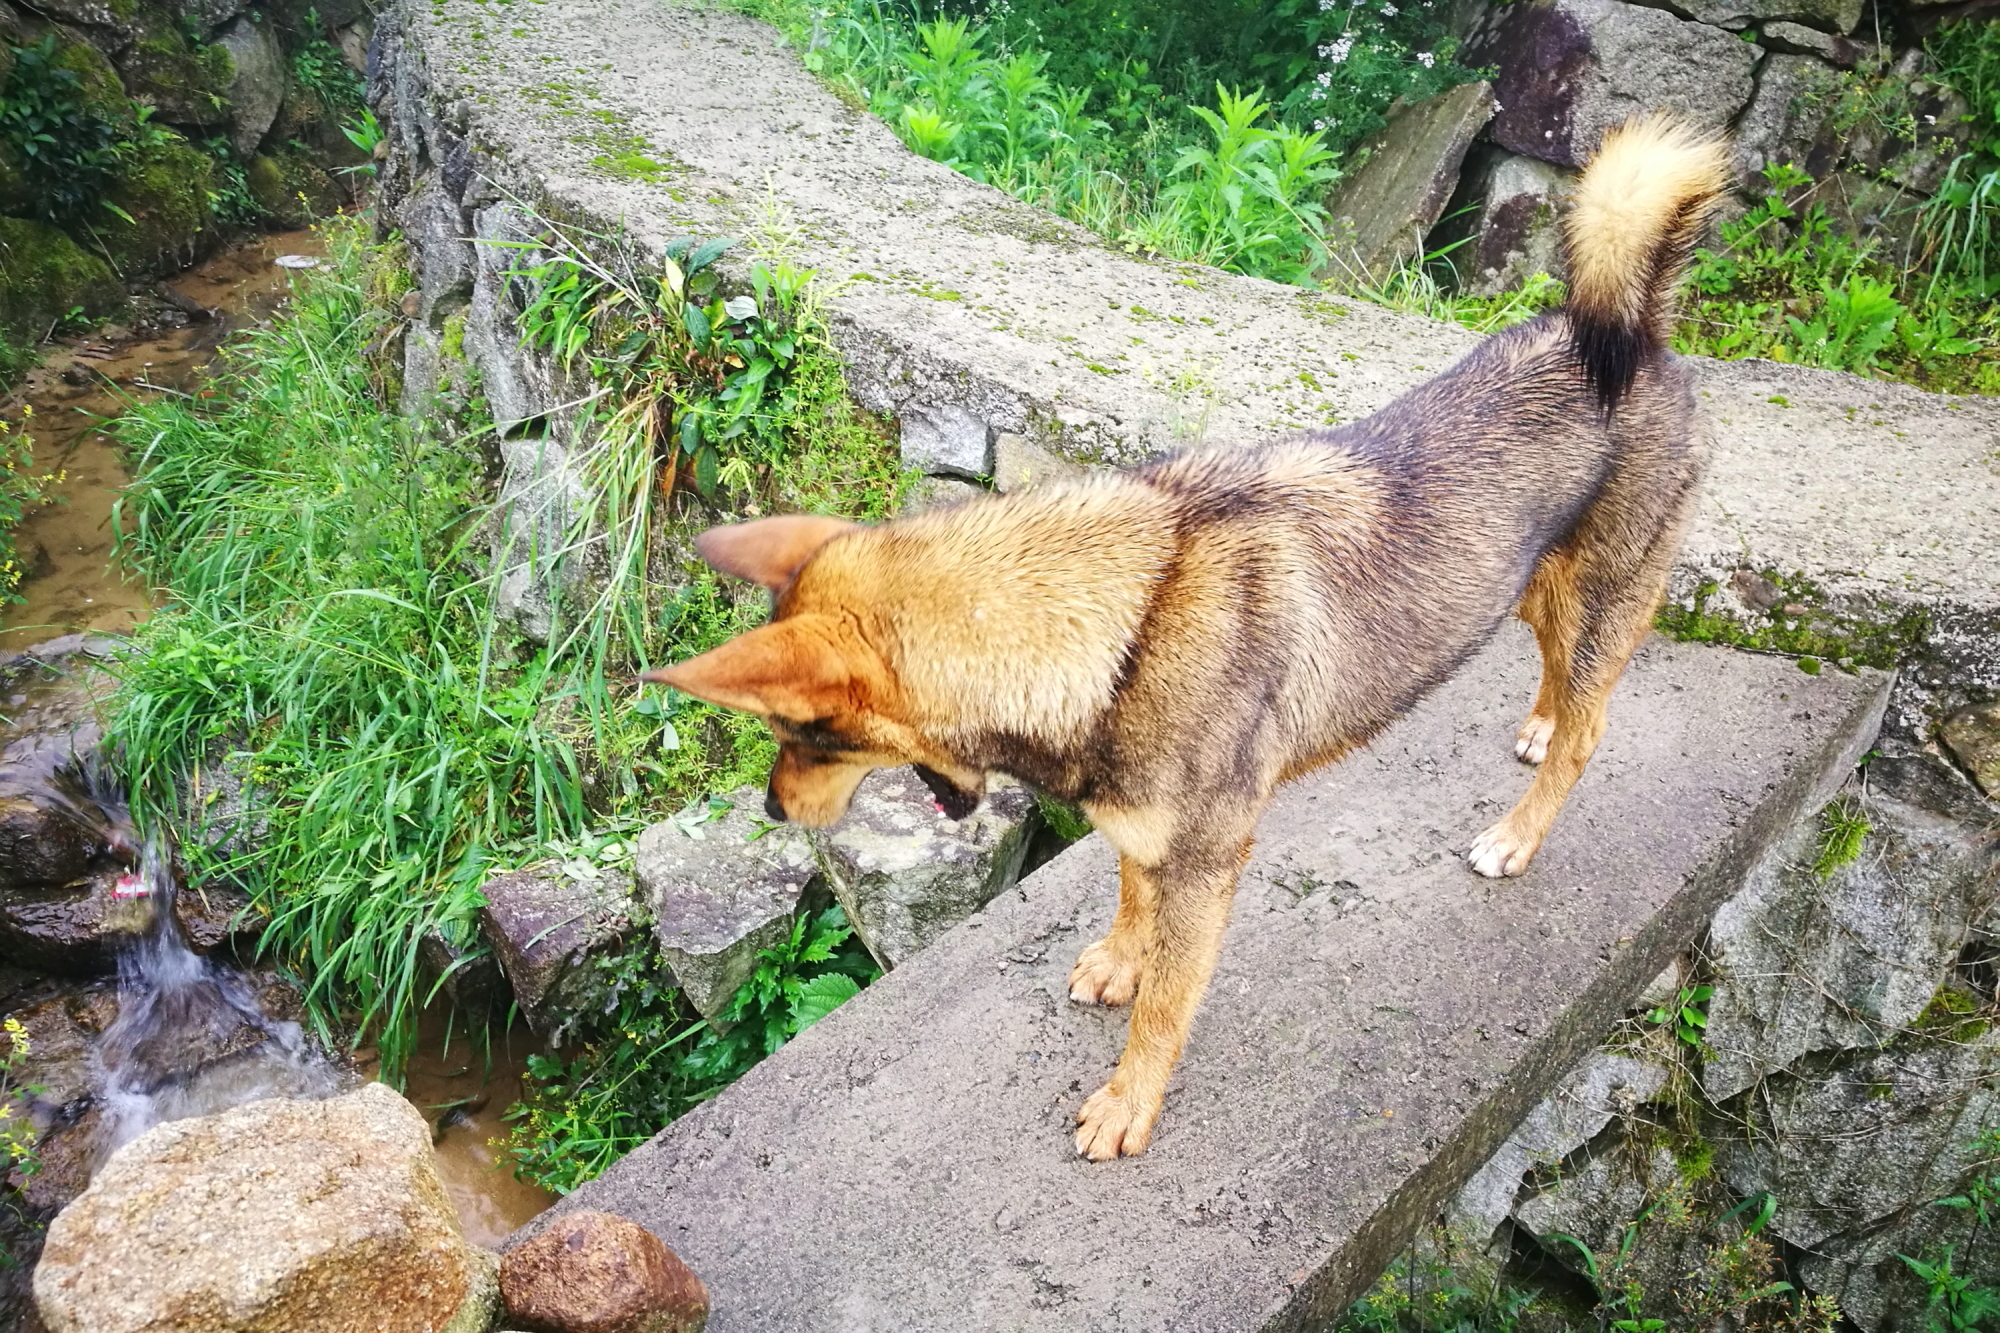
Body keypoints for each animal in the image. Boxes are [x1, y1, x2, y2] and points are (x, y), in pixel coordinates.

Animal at [648, 119, 1728, 1152]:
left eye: (808, 738)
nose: (773, 810)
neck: (1129, 622)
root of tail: (1636, 333)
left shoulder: (1209, 868)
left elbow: (1165, 1008)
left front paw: (1129, 1102)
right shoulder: (1137, 826)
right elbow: (1132, 899)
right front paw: (1121, 958)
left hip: (1600, 596)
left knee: (1591, 725)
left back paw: (1519, 830)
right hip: (1532, 588)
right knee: (1558, 682)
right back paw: (1539, 722)